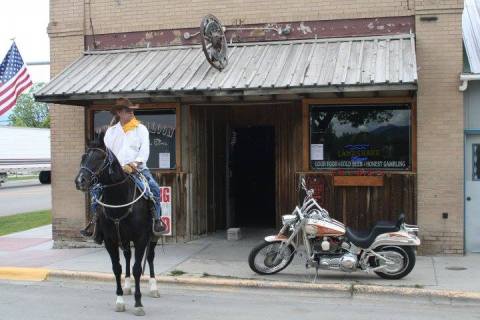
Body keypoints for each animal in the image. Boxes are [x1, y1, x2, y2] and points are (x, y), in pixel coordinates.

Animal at [74, 138, 158, 316]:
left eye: (100, 158)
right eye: (84, 157)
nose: (79, 181)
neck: (119, 199)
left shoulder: (141, 239)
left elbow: (137, 269)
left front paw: (138, 304)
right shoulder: (110, 240)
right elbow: (116, 268)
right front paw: (120, 300)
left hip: (154, 236)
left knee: (150, 257)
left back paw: (154, 287)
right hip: (124, 239)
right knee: (126, 256)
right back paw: (127, 286)